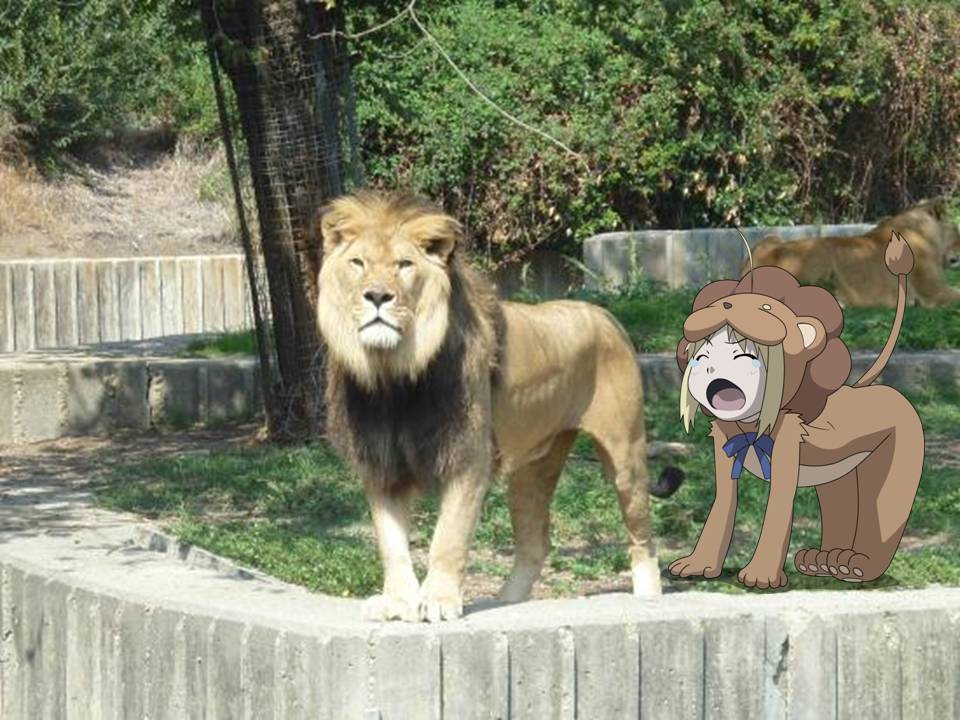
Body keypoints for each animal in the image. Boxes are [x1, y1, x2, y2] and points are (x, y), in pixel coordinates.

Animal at [314, 191, 682, 622]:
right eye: (358, 263)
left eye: (404, 265)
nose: (376, 296)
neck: (395, 374)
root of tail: (606, 315)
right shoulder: (381, 463)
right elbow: (392, 544)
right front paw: (398, 601)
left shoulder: (469, 456)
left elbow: (448, 537)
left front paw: (438, 601)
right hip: (529, 472)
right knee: (536, 543)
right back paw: (509, 600)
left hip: (625, 456)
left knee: (642, 536)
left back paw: (647, 597)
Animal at [670, 232, 924, 588]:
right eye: (702, 359)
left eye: (745, 358)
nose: (726, 305)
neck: (751, 428)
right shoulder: (723, 445)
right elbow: (722, 506)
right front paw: (697, 565)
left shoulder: (788, 446)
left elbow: (778, 510)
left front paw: (761, 576)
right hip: (838, 478)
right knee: (840, 508)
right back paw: (826, 561)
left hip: (893, 464)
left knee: (883, 511)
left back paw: (858, 566)